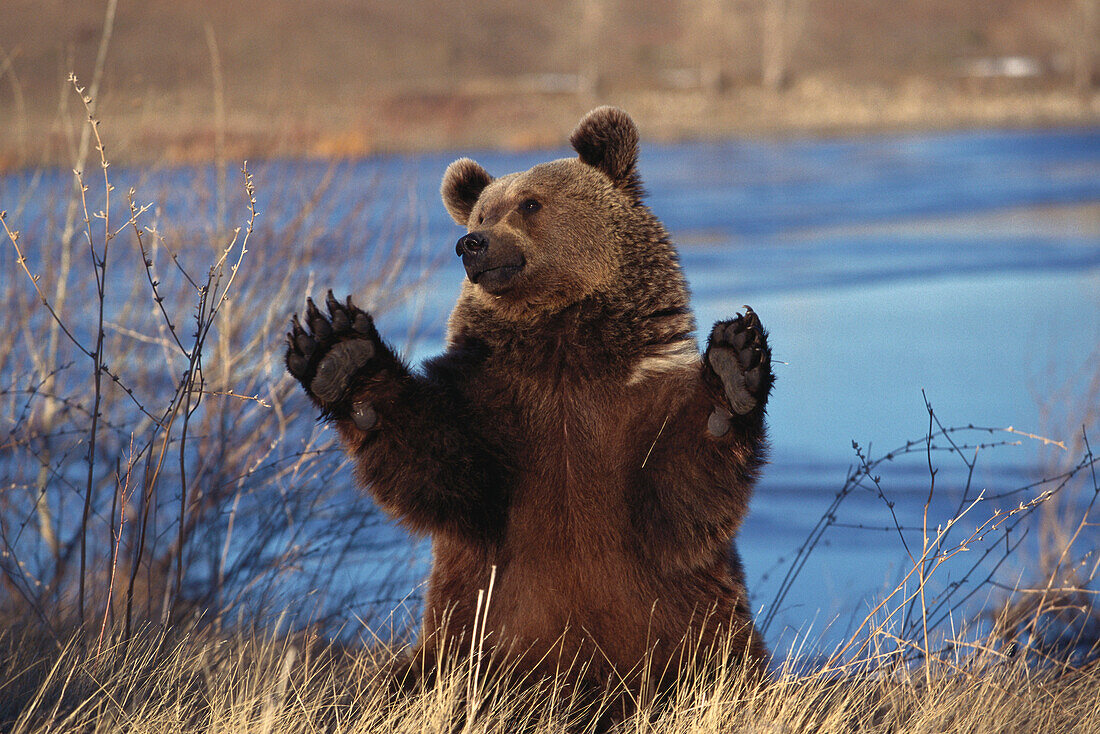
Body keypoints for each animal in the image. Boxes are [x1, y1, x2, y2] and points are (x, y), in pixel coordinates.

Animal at [283, 107, 774, 704]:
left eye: (531, 204)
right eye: (482, 210)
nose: (471, 244)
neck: (561, 352)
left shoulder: (631, 406)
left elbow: (683, 477)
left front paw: (734, 365)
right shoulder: (496, 411)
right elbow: (442, 467)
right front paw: (339, 353)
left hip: (707, 631)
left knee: (729, 673)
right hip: (457, 644)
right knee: (407, 686)